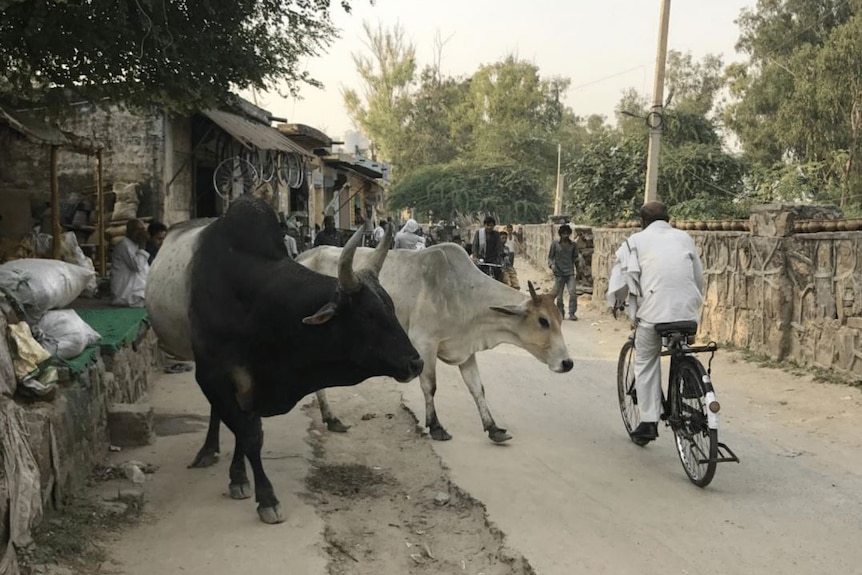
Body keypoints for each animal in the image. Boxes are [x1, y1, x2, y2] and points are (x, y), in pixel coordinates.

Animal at [296, 241, 572, 444]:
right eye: (543, 321)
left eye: (560, 319)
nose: (567, 363)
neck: (463, 293)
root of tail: (302, 256)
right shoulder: (424, 344)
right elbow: (430, 386)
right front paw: (436, 427)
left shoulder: (466, 350)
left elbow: (477, 388)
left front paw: (493, 428)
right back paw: (330, 417)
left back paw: (331, 419)